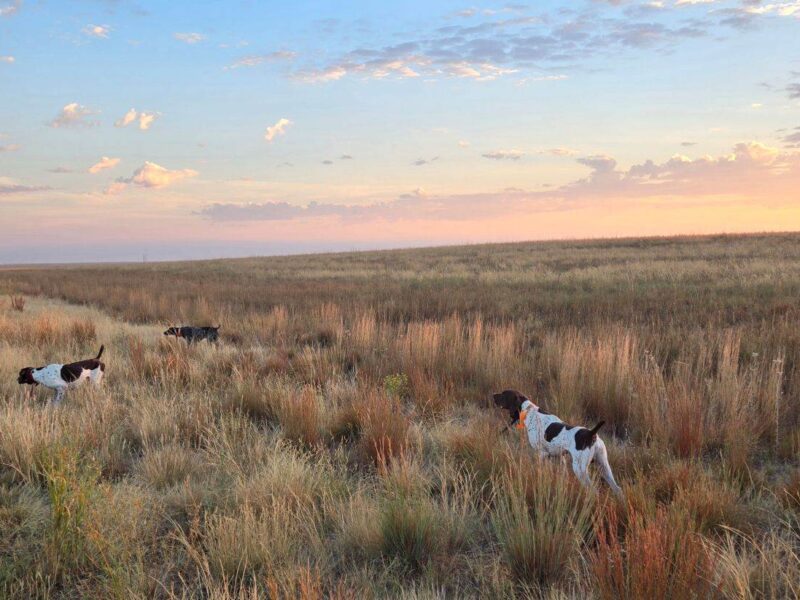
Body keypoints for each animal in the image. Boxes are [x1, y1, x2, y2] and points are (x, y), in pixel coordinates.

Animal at [490, 392, 620, 494]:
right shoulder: (559, 457)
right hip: (604, 466)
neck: (530, 411)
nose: (493, 395)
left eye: (504, 394)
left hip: (580, 469)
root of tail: (591, 433)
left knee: (594, 491)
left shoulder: (541, 454)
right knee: (617, 489)